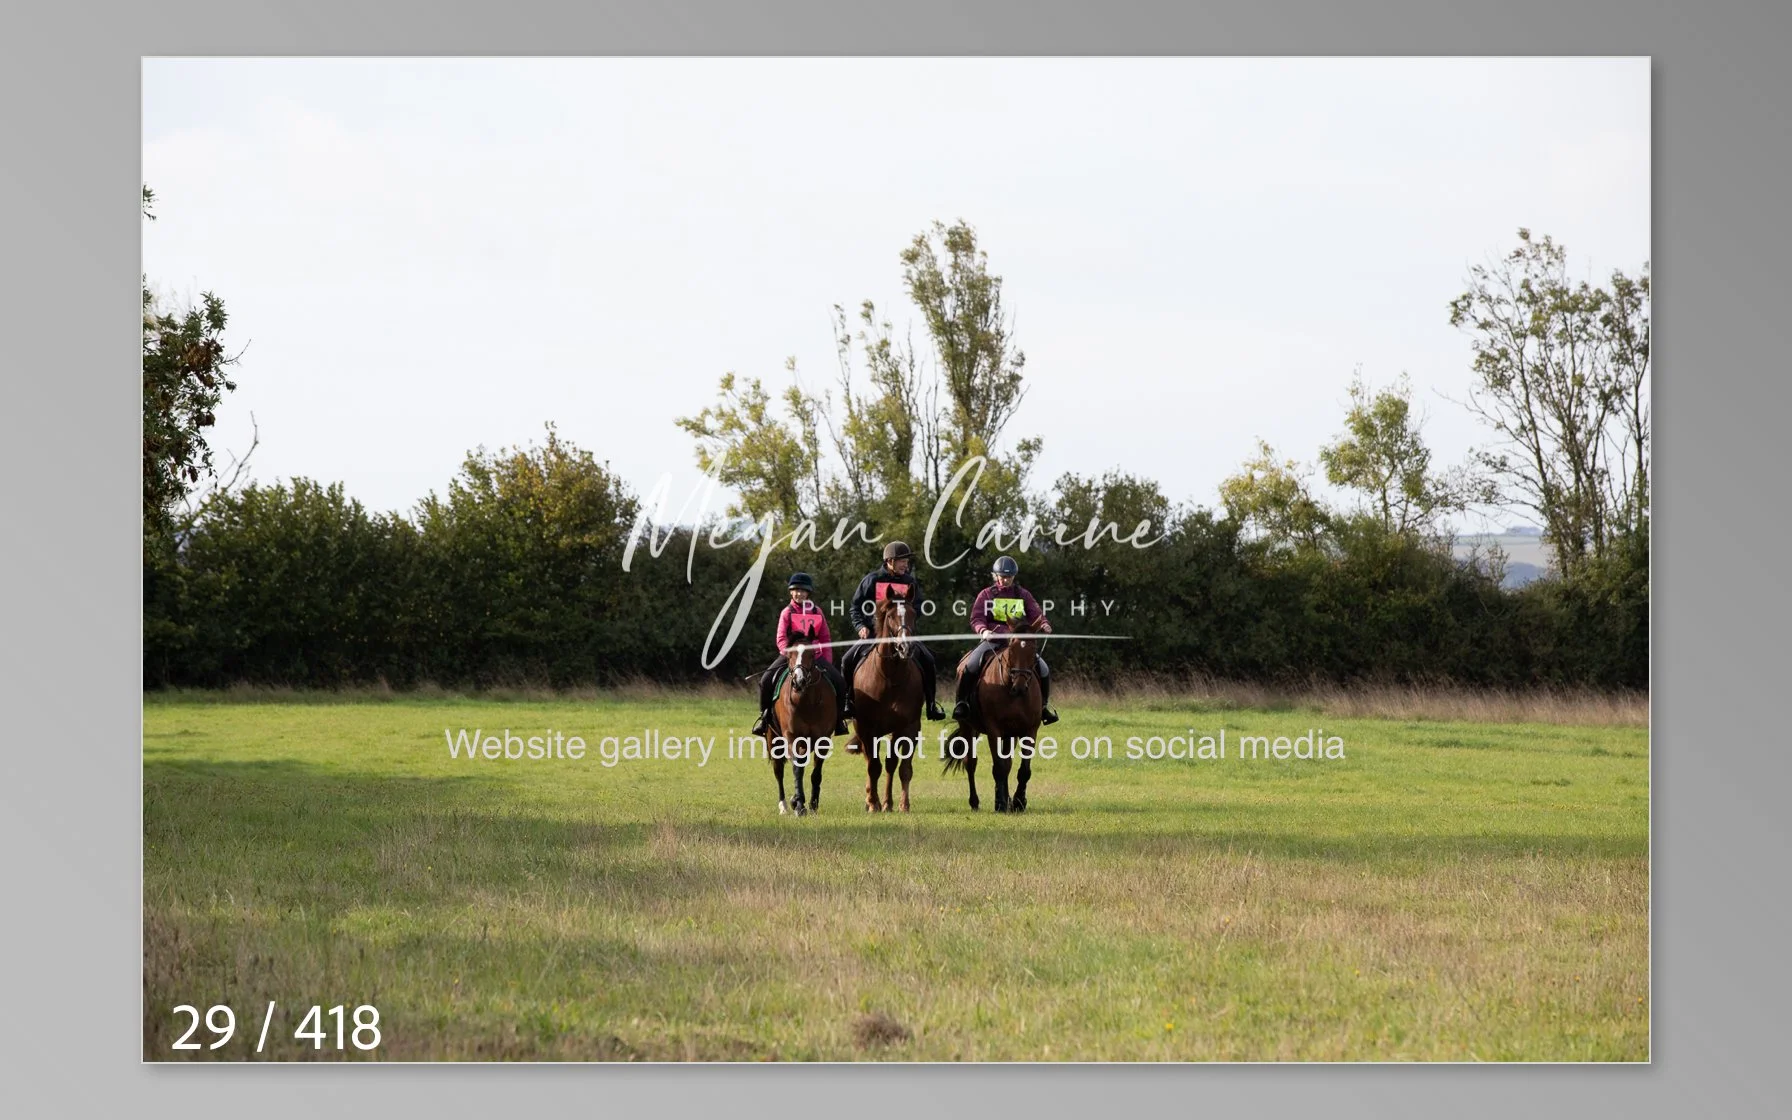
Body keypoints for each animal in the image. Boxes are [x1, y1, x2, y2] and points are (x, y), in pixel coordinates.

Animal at [767, 642, 836, 816]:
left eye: (812, 655)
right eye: (789, 656)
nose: (799, 681)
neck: (807, 702)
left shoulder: (823, 739)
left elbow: (816, 773)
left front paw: (812, 804)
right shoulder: (792, 736)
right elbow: (797, 769)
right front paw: (798, 805)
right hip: (773, 740)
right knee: (779, 771)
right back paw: (784, 805)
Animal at [847, 594, 924, 812]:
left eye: (913, 613)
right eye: (890, 616)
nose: (905, 647)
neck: (890, 677)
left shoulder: (908, 727)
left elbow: (901, 767)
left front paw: (901, 804)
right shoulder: (867, 728)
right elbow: (873, 767)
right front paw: (873, 804)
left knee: (889, 764)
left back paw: (887, 802)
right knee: (870, 762)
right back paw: (871, 800)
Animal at [942, 619, 1047, 813]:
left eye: (1033, 649)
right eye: (1012, 649)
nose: (1020, 686)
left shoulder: (1029, 730)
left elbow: (1023, 770)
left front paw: (1018, 802)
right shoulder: (994, 730)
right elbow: (998, 767)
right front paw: (1000, 803)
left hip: (1010, 735)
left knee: (1007, 764)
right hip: (967, 727)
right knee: (971, 763)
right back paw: (975, 802)